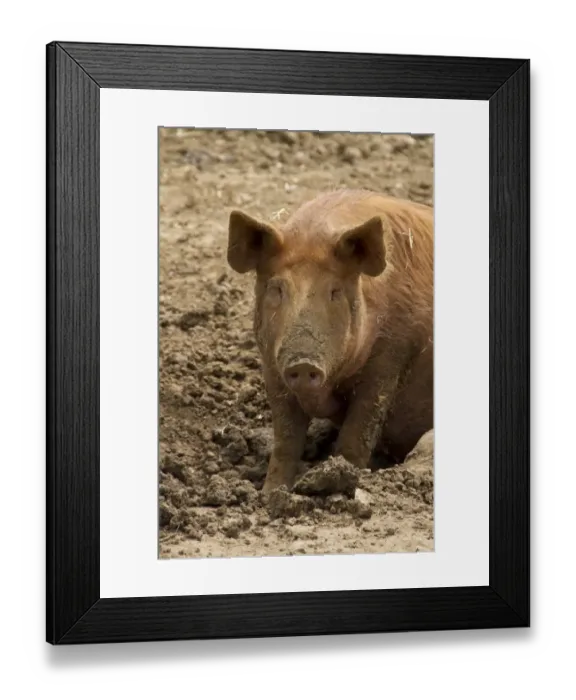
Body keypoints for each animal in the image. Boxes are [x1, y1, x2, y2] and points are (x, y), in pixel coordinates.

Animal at [227, 189, 434, 493]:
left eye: (335, 291)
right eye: (277, 288)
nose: (303, 363)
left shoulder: (391, 357)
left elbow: (358, 431)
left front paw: (340, 481)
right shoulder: (272, 367)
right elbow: (285, 439)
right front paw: (270, 493)